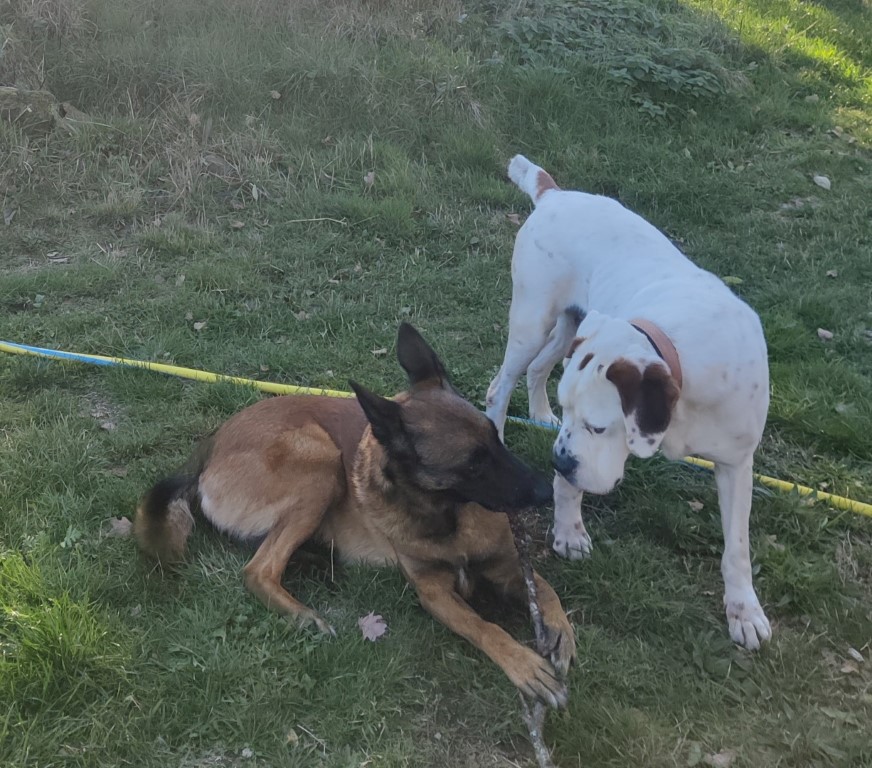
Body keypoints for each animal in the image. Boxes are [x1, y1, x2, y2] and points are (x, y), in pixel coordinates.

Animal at [135, 322, 575, 706]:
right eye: (473, 462)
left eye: (495, 437)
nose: (545, 488)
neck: (445, 516)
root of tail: (210, 446)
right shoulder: (434, 592)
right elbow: (484, 626)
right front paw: (522, 663)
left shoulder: (508, 566)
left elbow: (547, 589)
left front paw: (562, 632)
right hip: (322, 463)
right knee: (258, 570)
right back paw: (303, 614)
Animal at [486, 155, 771, 650]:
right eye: (579, 420)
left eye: (598, 426)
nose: (558, 459)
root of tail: (555, 193)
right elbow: (569, 489)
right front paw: (569, 533)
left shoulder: (737, 462)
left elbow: (737, 547)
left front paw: (743, 609)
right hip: (532, 323)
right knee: (499, 385)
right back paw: (500, 431)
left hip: (566, 330)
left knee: (538, 368)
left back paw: (538, 414)